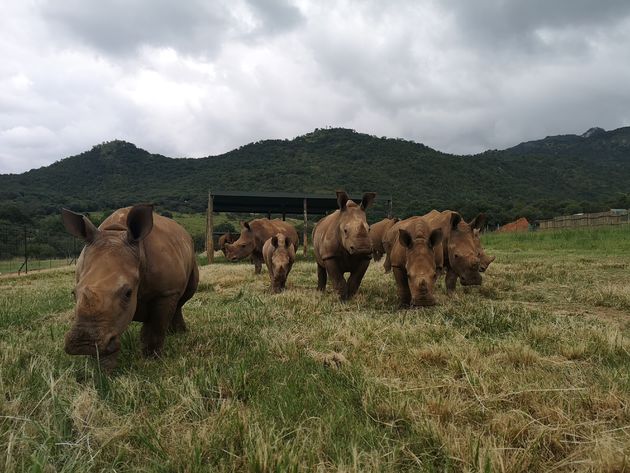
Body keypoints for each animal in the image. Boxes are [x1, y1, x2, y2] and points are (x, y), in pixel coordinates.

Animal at [61, 205, 200, 370]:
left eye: (128, 293)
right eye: (73, 293)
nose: (84, 344)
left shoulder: (166, 292)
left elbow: (156, 327)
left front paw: (152, 361)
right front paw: (104, 370)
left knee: (183, 298)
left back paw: (179, 333)